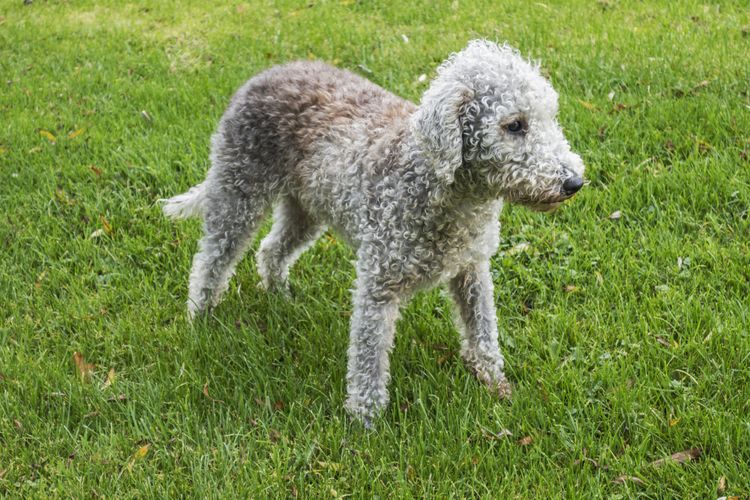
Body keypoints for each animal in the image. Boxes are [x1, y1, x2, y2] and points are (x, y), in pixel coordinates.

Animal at [163, 40, 588, 426]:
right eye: (514, 125)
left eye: (551, 117)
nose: (574, 182)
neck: (437, 184)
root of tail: (263, 75)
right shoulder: (378, 285)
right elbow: (369, 355)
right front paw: (365, 420)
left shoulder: (472, 269)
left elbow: (483, 330)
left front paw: (494, 383)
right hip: (237, 191)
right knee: (212, 260)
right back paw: (199, 318)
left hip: (306, 206)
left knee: (270, 250)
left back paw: (279, 295)